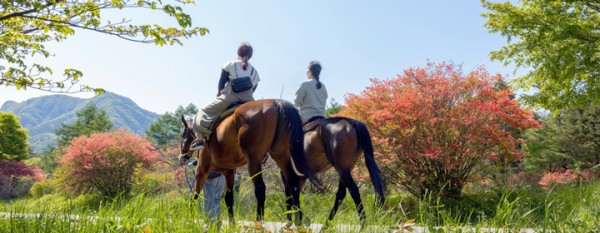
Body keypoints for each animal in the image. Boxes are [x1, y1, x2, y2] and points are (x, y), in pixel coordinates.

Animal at [178, 99, 318, 225]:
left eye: (181, 136)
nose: (182, 156)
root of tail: (277, 103)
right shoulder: (229, 172)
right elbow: (229, 198)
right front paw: (232, 224)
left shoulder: (202, 169)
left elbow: (194, 195)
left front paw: (190, 218)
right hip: (282, 156)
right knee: (293, 185)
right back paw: (298, 221)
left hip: (253, 161)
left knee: (260, 189)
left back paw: (259, 221)